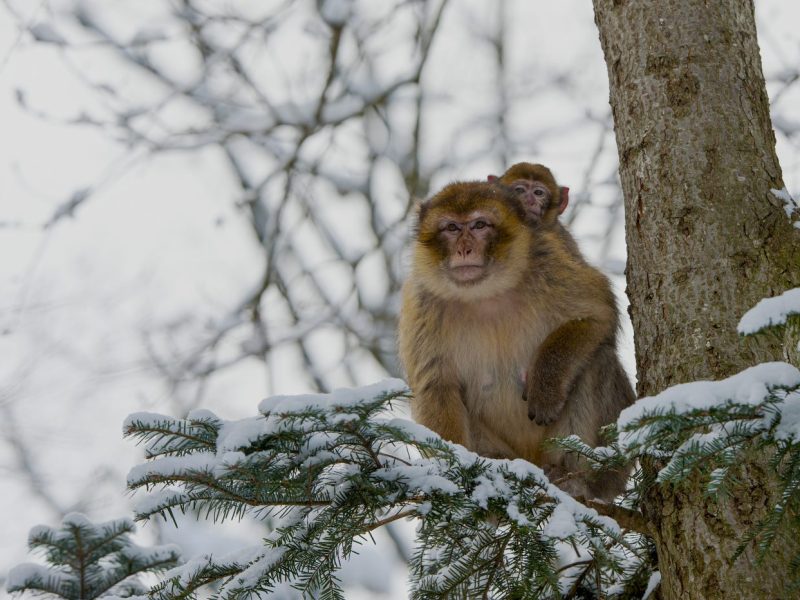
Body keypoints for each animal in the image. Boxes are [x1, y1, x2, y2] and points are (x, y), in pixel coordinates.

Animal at [396, 162, 636, 500]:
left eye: (480, 225)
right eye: (452, 228)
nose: (465, 249)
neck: (485, 294)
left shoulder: (547, 261)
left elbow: (597, 313)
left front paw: (545, 386)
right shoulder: (422, 300)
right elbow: (436, 384)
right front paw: (456, 470)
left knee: (597, 360)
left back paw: (574, 479)